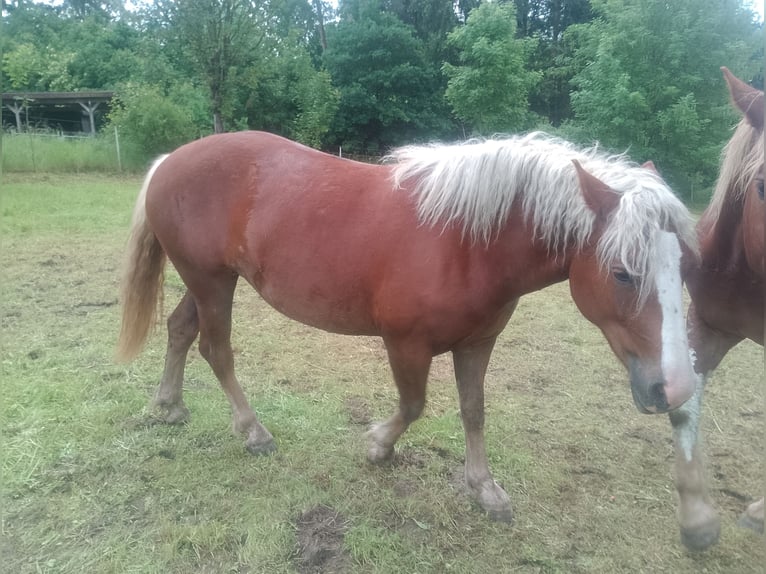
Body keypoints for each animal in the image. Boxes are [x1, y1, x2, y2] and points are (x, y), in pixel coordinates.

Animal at [117, 130, 698, 523]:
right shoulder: (406, 344)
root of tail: (171, 160)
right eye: (622, 272)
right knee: (217, 350)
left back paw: (169, 405)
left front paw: (484, 488)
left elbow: (473, 411)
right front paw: (378, 446)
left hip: (208, 281)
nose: (673, 388)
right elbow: (414, 405)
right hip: (211, 282)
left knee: (180, 330)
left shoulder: (478, 344)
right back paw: (253, 432)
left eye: (685, 268)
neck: (466, 240)